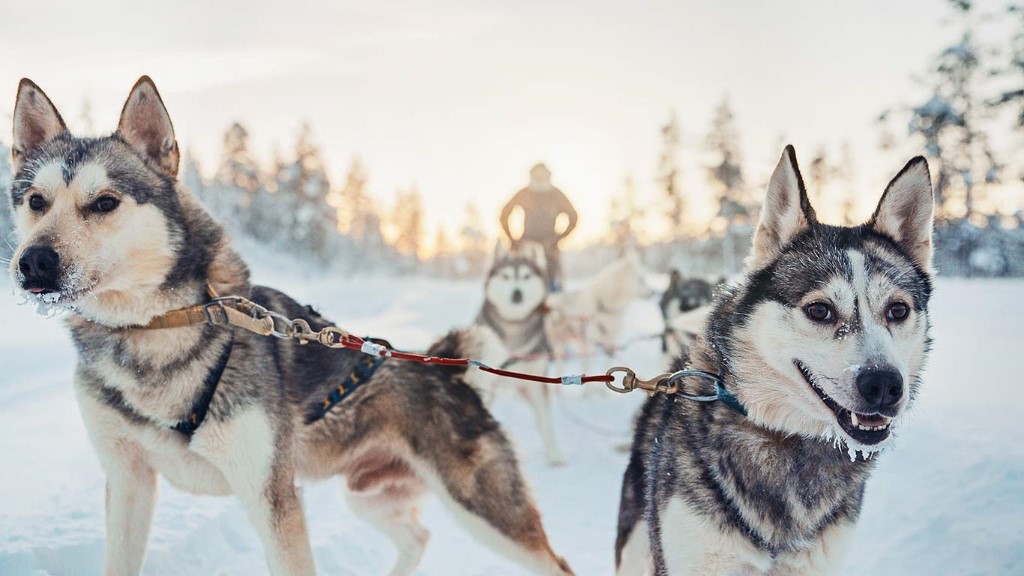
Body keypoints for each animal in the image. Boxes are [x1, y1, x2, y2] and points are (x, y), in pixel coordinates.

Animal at [475, 239, 565, 463]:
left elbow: (545, 422)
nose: (517, 293)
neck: (513, 329)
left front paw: (554, 455)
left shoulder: (537, 383)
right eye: (506, 276)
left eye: (526, 276)